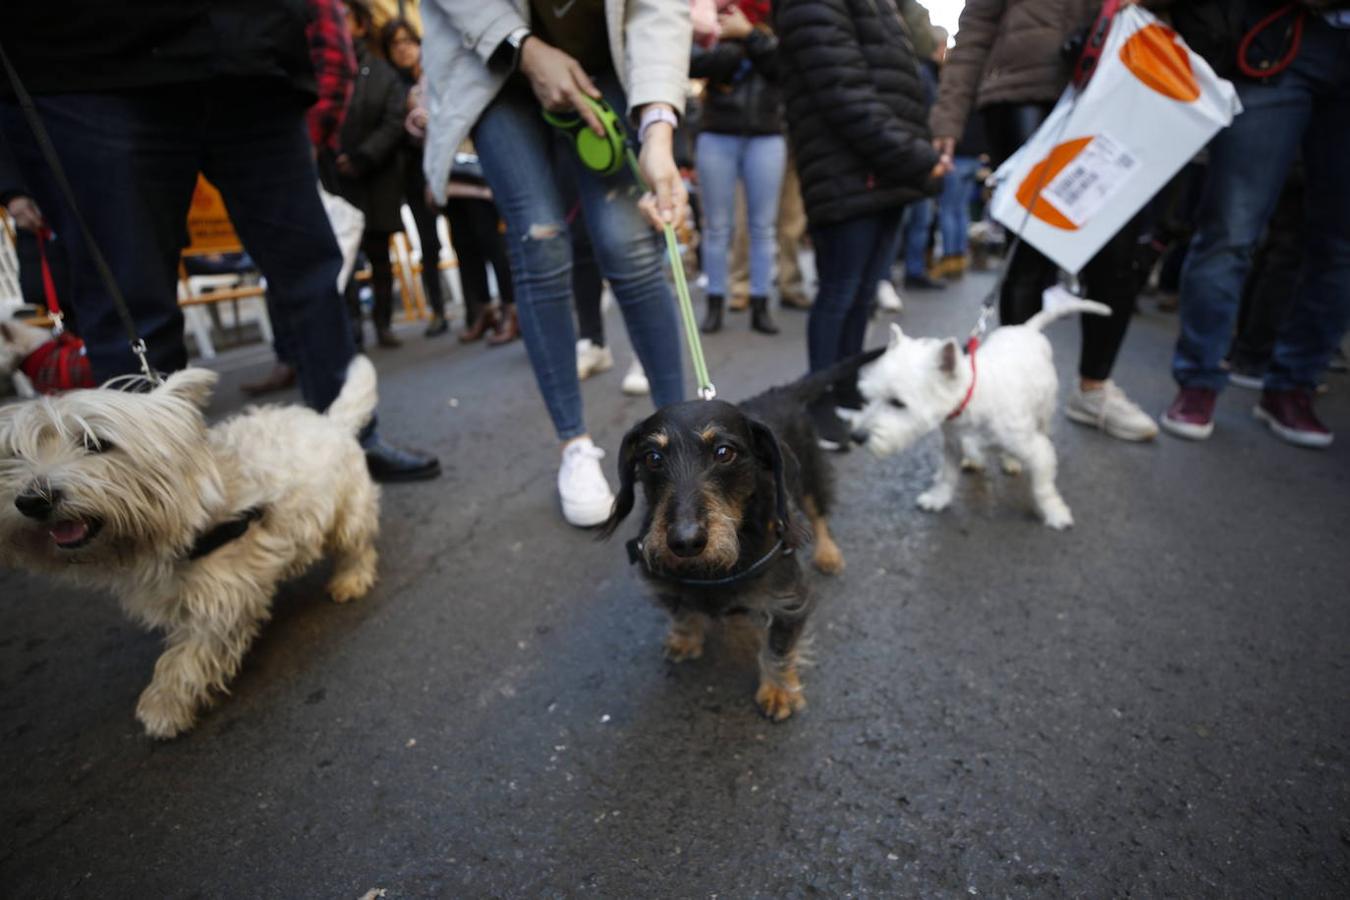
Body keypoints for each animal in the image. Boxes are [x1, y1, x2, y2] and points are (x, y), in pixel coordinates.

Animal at [0, 358, 383, 739]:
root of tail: (330, 422)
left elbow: (186, 658)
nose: (32, 501)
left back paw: (350, 580)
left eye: (96, 443)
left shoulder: (223, 598)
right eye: (16, 453)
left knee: (357, 547)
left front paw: (164, 707)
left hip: (347, 511)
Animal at [599, 350, 874, 723]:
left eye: (724, 452)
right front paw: (684, 638)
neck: (713, 568)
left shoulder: (788, 600)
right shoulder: (666, 582)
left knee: (818, 515)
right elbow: (681, 613)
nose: (684, 542)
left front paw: (778, 691)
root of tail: (779, 393)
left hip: (808, 475)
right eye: (652, 458)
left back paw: (828, 554)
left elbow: (777, 649)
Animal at [858, 299, 1112, 531]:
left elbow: (1043, 488)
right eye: (869, 395)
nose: (857, 436)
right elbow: (948, 476)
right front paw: (937, 498)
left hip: (1043, 412)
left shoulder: (1038, 451)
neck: (971, 401)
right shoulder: (953, 445)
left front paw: (1055, 513)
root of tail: (1027, 329)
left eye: (898, 403)